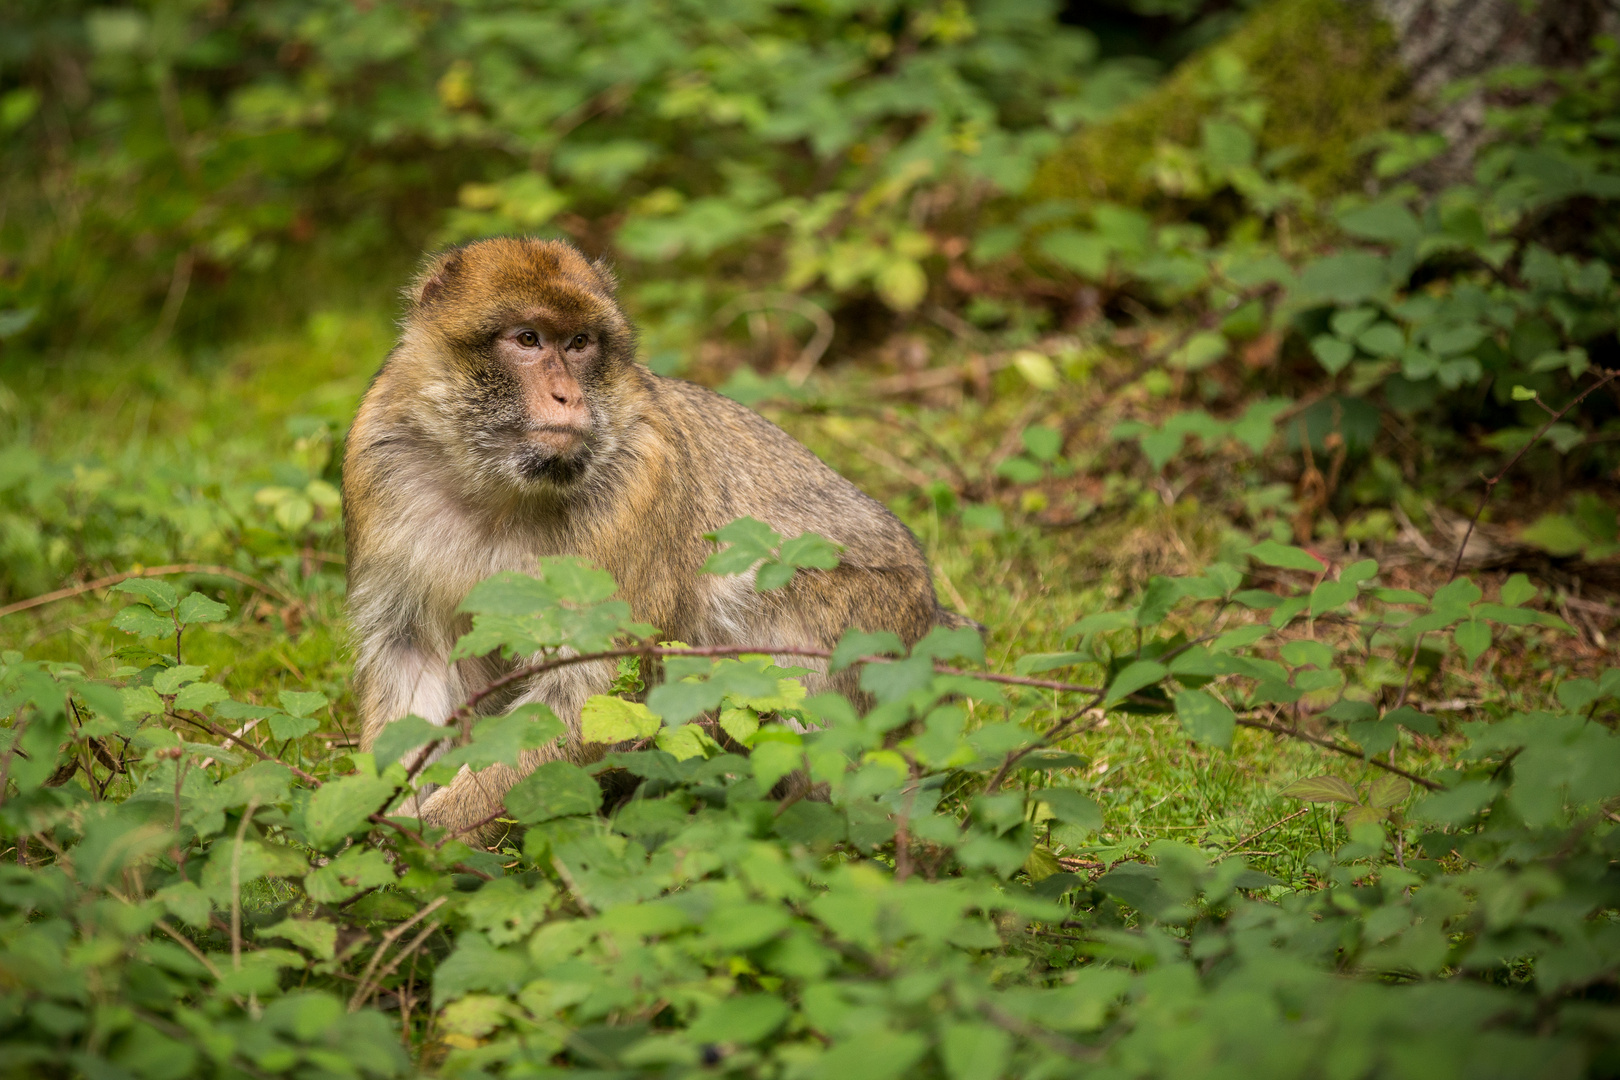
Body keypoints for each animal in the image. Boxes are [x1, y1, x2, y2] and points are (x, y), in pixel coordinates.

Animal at [346, 236, 965, 841]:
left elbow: (589, 691)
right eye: (527, 339)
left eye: (579, 343)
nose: (568, 397)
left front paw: (429, 833)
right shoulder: (381, 465)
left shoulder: (637, 486)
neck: (499, 487)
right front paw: (378, 818)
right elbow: (411, 656)